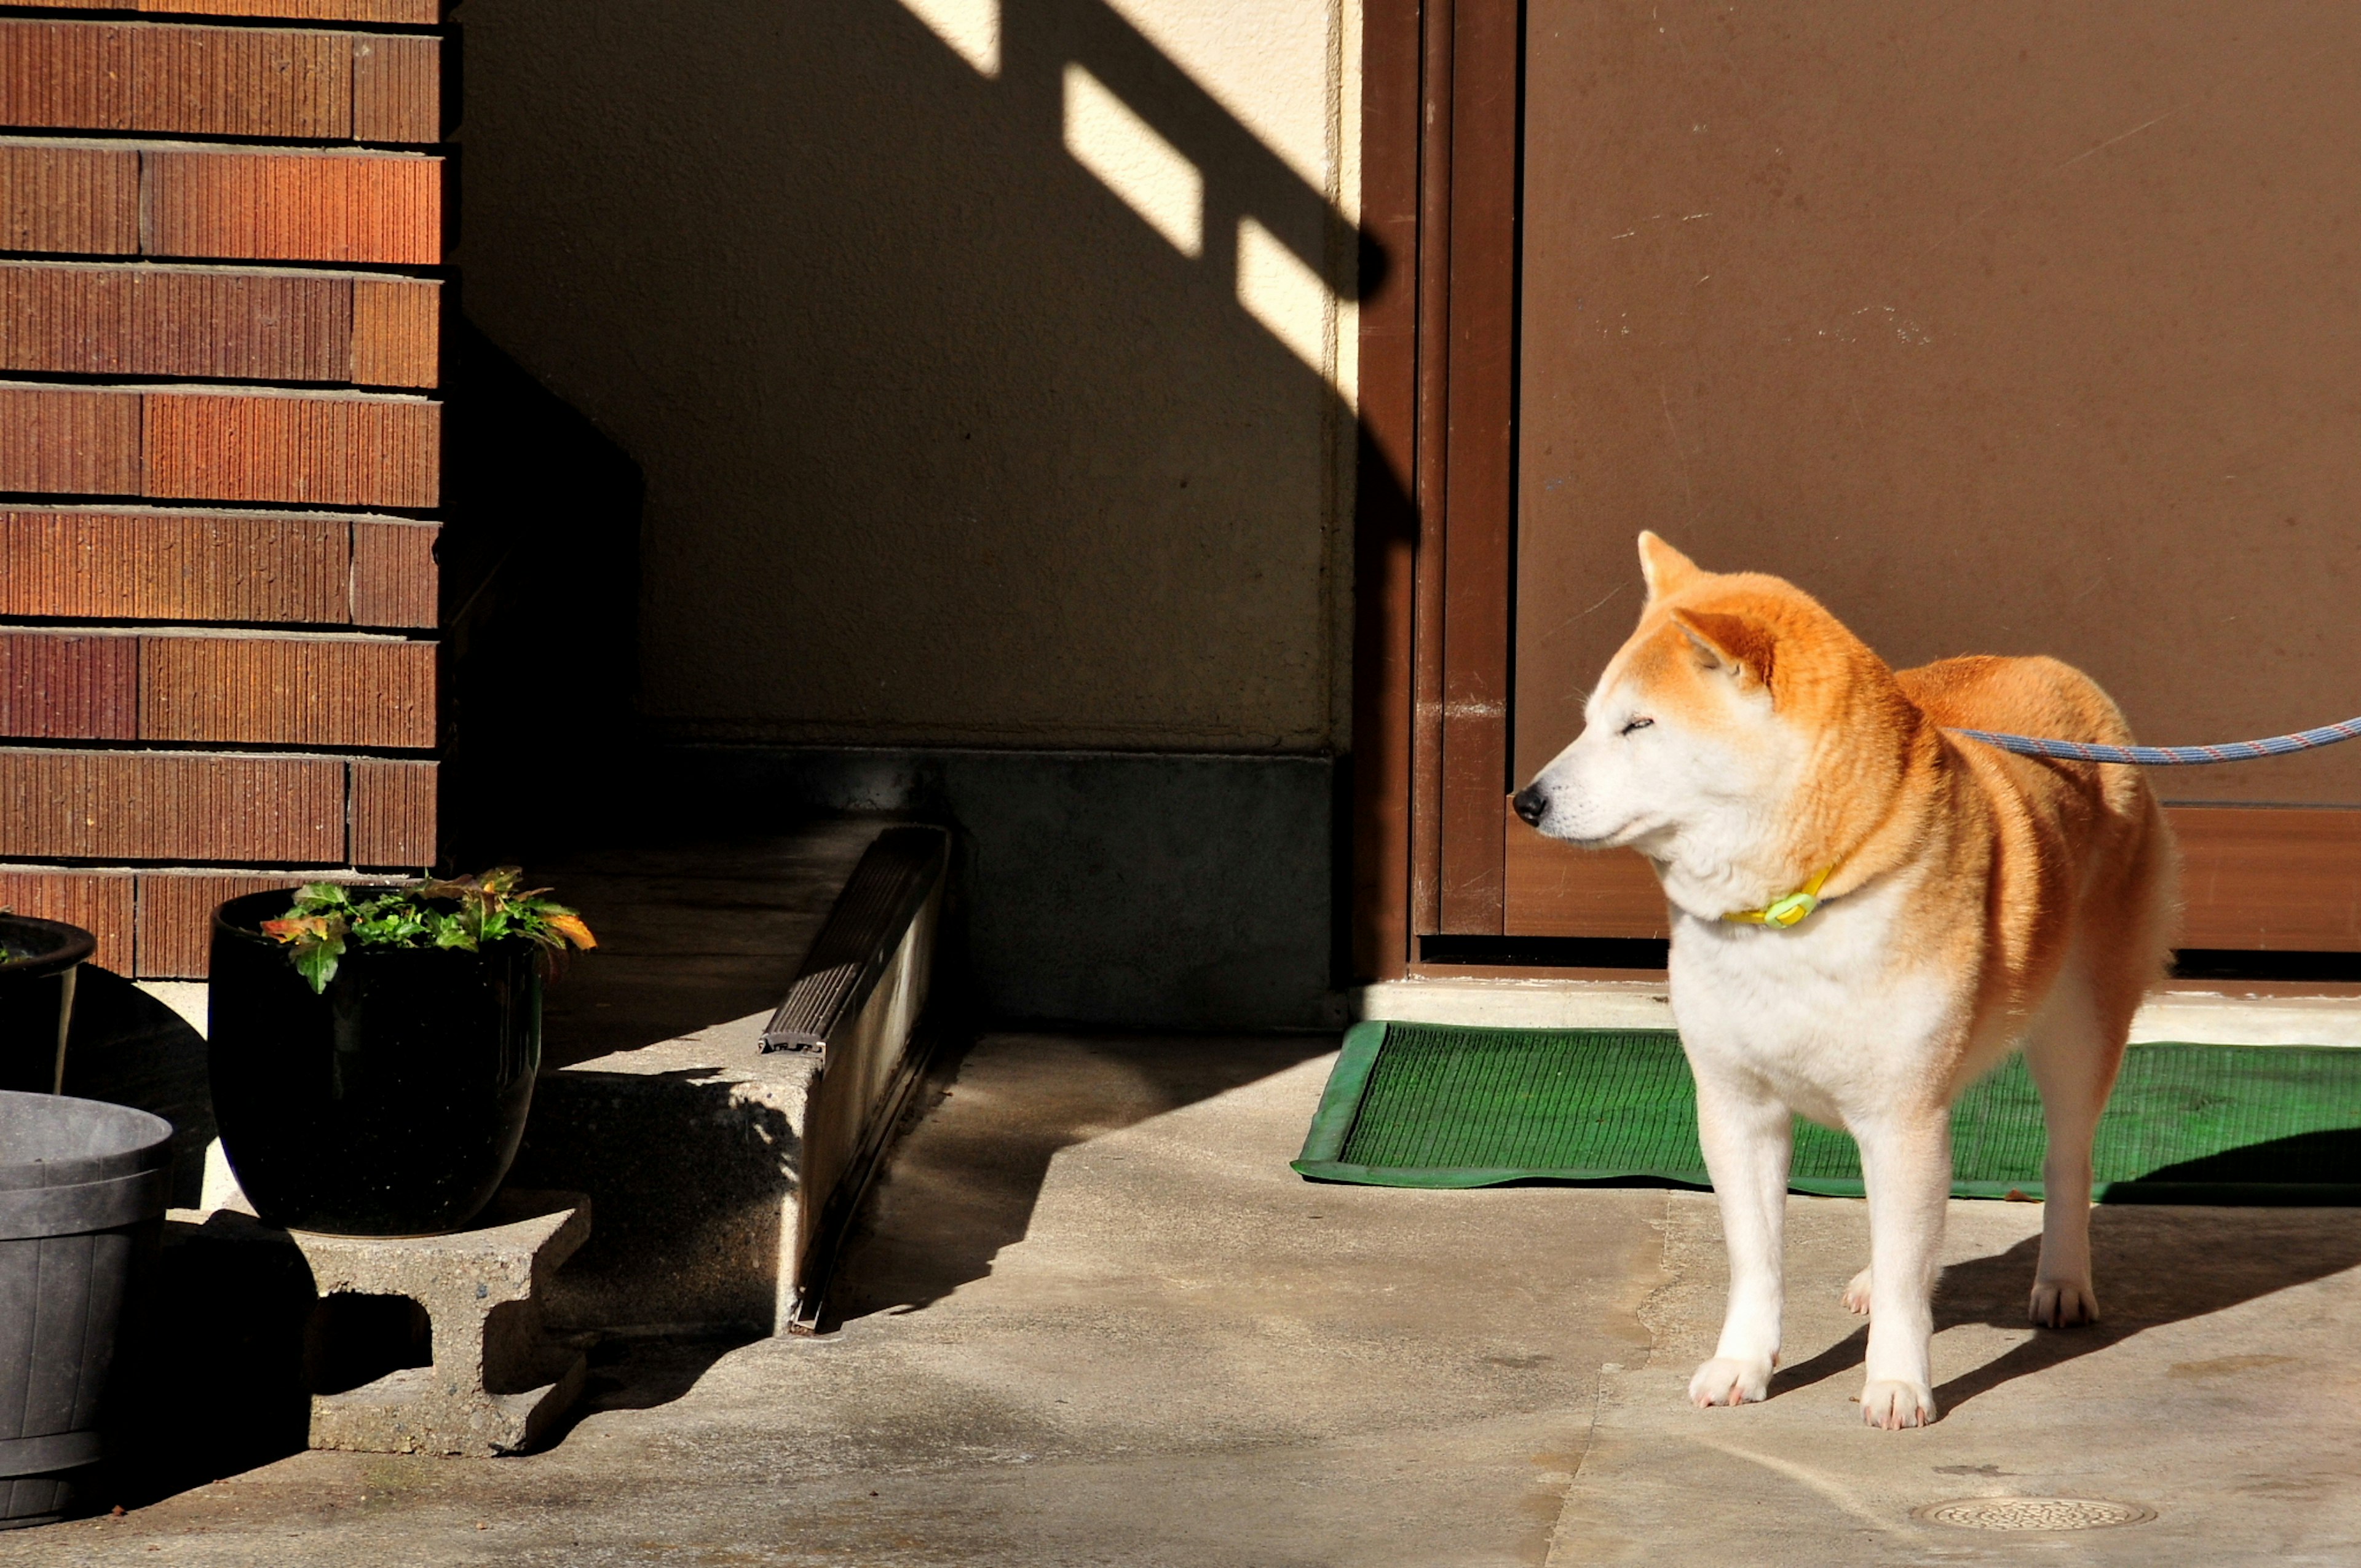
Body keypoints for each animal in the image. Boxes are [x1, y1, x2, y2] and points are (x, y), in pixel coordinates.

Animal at [1511, 533, 2172, 1426]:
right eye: (1591, 722)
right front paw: (1743, 1364)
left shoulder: (1902, 1115)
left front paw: (1897, 1380)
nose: (1526, 800)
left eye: (1638, 724)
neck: (1791, 905)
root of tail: (2059, 670)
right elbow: (1758, 1261)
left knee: (2066, 1160)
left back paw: (2063, 1281)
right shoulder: (1738, 1107)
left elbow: (1904, 1271)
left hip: (2078, 1030)